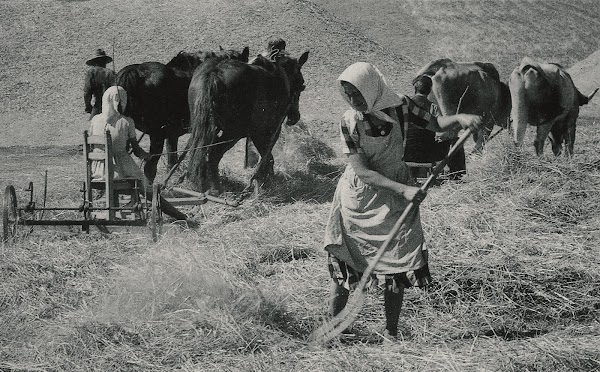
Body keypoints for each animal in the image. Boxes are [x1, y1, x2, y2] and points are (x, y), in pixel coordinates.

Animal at [188, 50, 310, 195]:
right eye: (301, 83)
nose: (295, 117)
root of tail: (214, 73)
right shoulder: (269, 130)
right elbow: (267, 157)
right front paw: (266, 181)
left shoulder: (256, 132)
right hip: (233, 132)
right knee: (213, 155)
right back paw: (216, 189)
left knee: (202, 153)